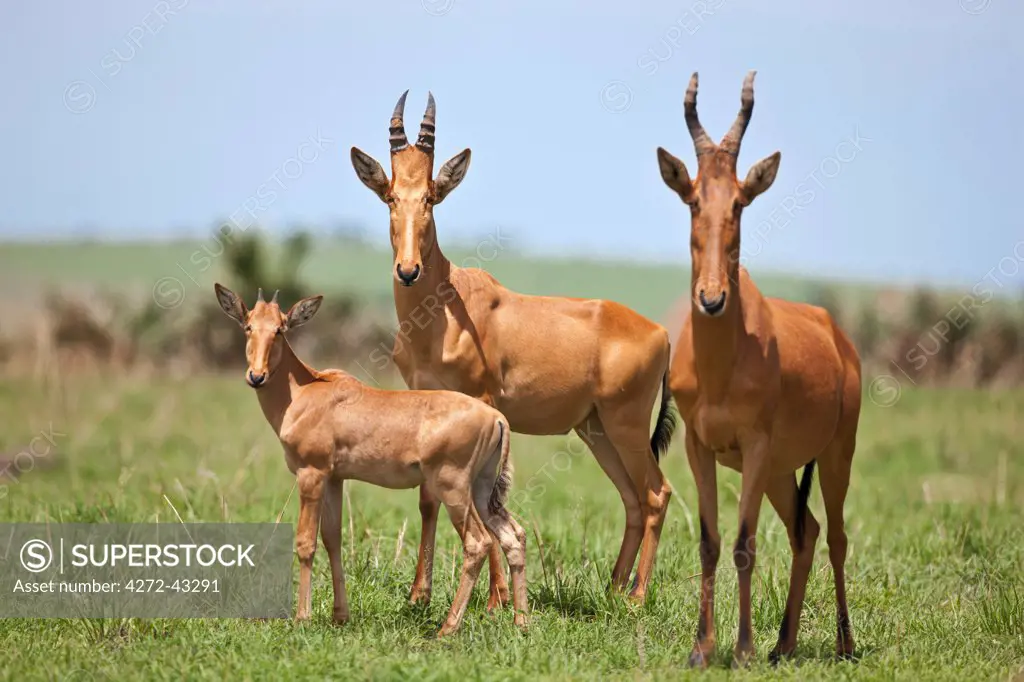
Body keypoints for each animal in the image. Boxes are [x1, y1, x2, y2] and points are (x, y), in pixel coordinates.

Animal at [210, 280, 524, 630]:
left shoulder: (311, 474)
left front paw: (302, 617)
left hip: (453, 487)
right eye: (248, 325)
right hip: (482, 489)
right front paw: (340, 615)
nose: (257, 376)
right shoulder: (334, 478)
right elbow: (332, 539)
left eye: (280, 328)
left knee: (477, 543)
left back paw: (447, 629)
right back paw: (521, 622)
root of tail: (495, 418)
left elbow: (306, 542)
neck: (306, 390)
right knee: (512, 536)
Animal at [352, 90, 679, 606]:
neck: (447, 305)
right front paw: (419, 595)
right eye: (391, 196)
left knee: (655, 493)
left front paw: (496, 600)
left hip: (625, 424)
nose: (407, 270)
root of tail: (661, 333)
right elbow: (427, 499)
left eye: (431, 196)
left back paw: (636, 596)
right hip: (596, 429)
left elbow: (486, 501)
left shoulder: (483, 402)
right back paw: (611, 589)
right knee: (631, 498)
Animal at [659, 73, 860, 663]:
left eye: (741, 202)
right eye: (693, 199)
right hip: (779, 470)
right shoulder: (700, 447)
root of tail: (837, 336)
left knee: (836, 535)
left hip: (833, 453)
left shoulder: (754, 446)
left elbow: (745, 544)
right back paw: (784, 644)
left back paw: (843, 644)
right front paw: (702, 650)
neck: (724, 362)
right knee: (806, 531)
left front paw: (743, 649)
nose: (711, 298)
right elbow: (710, 542)